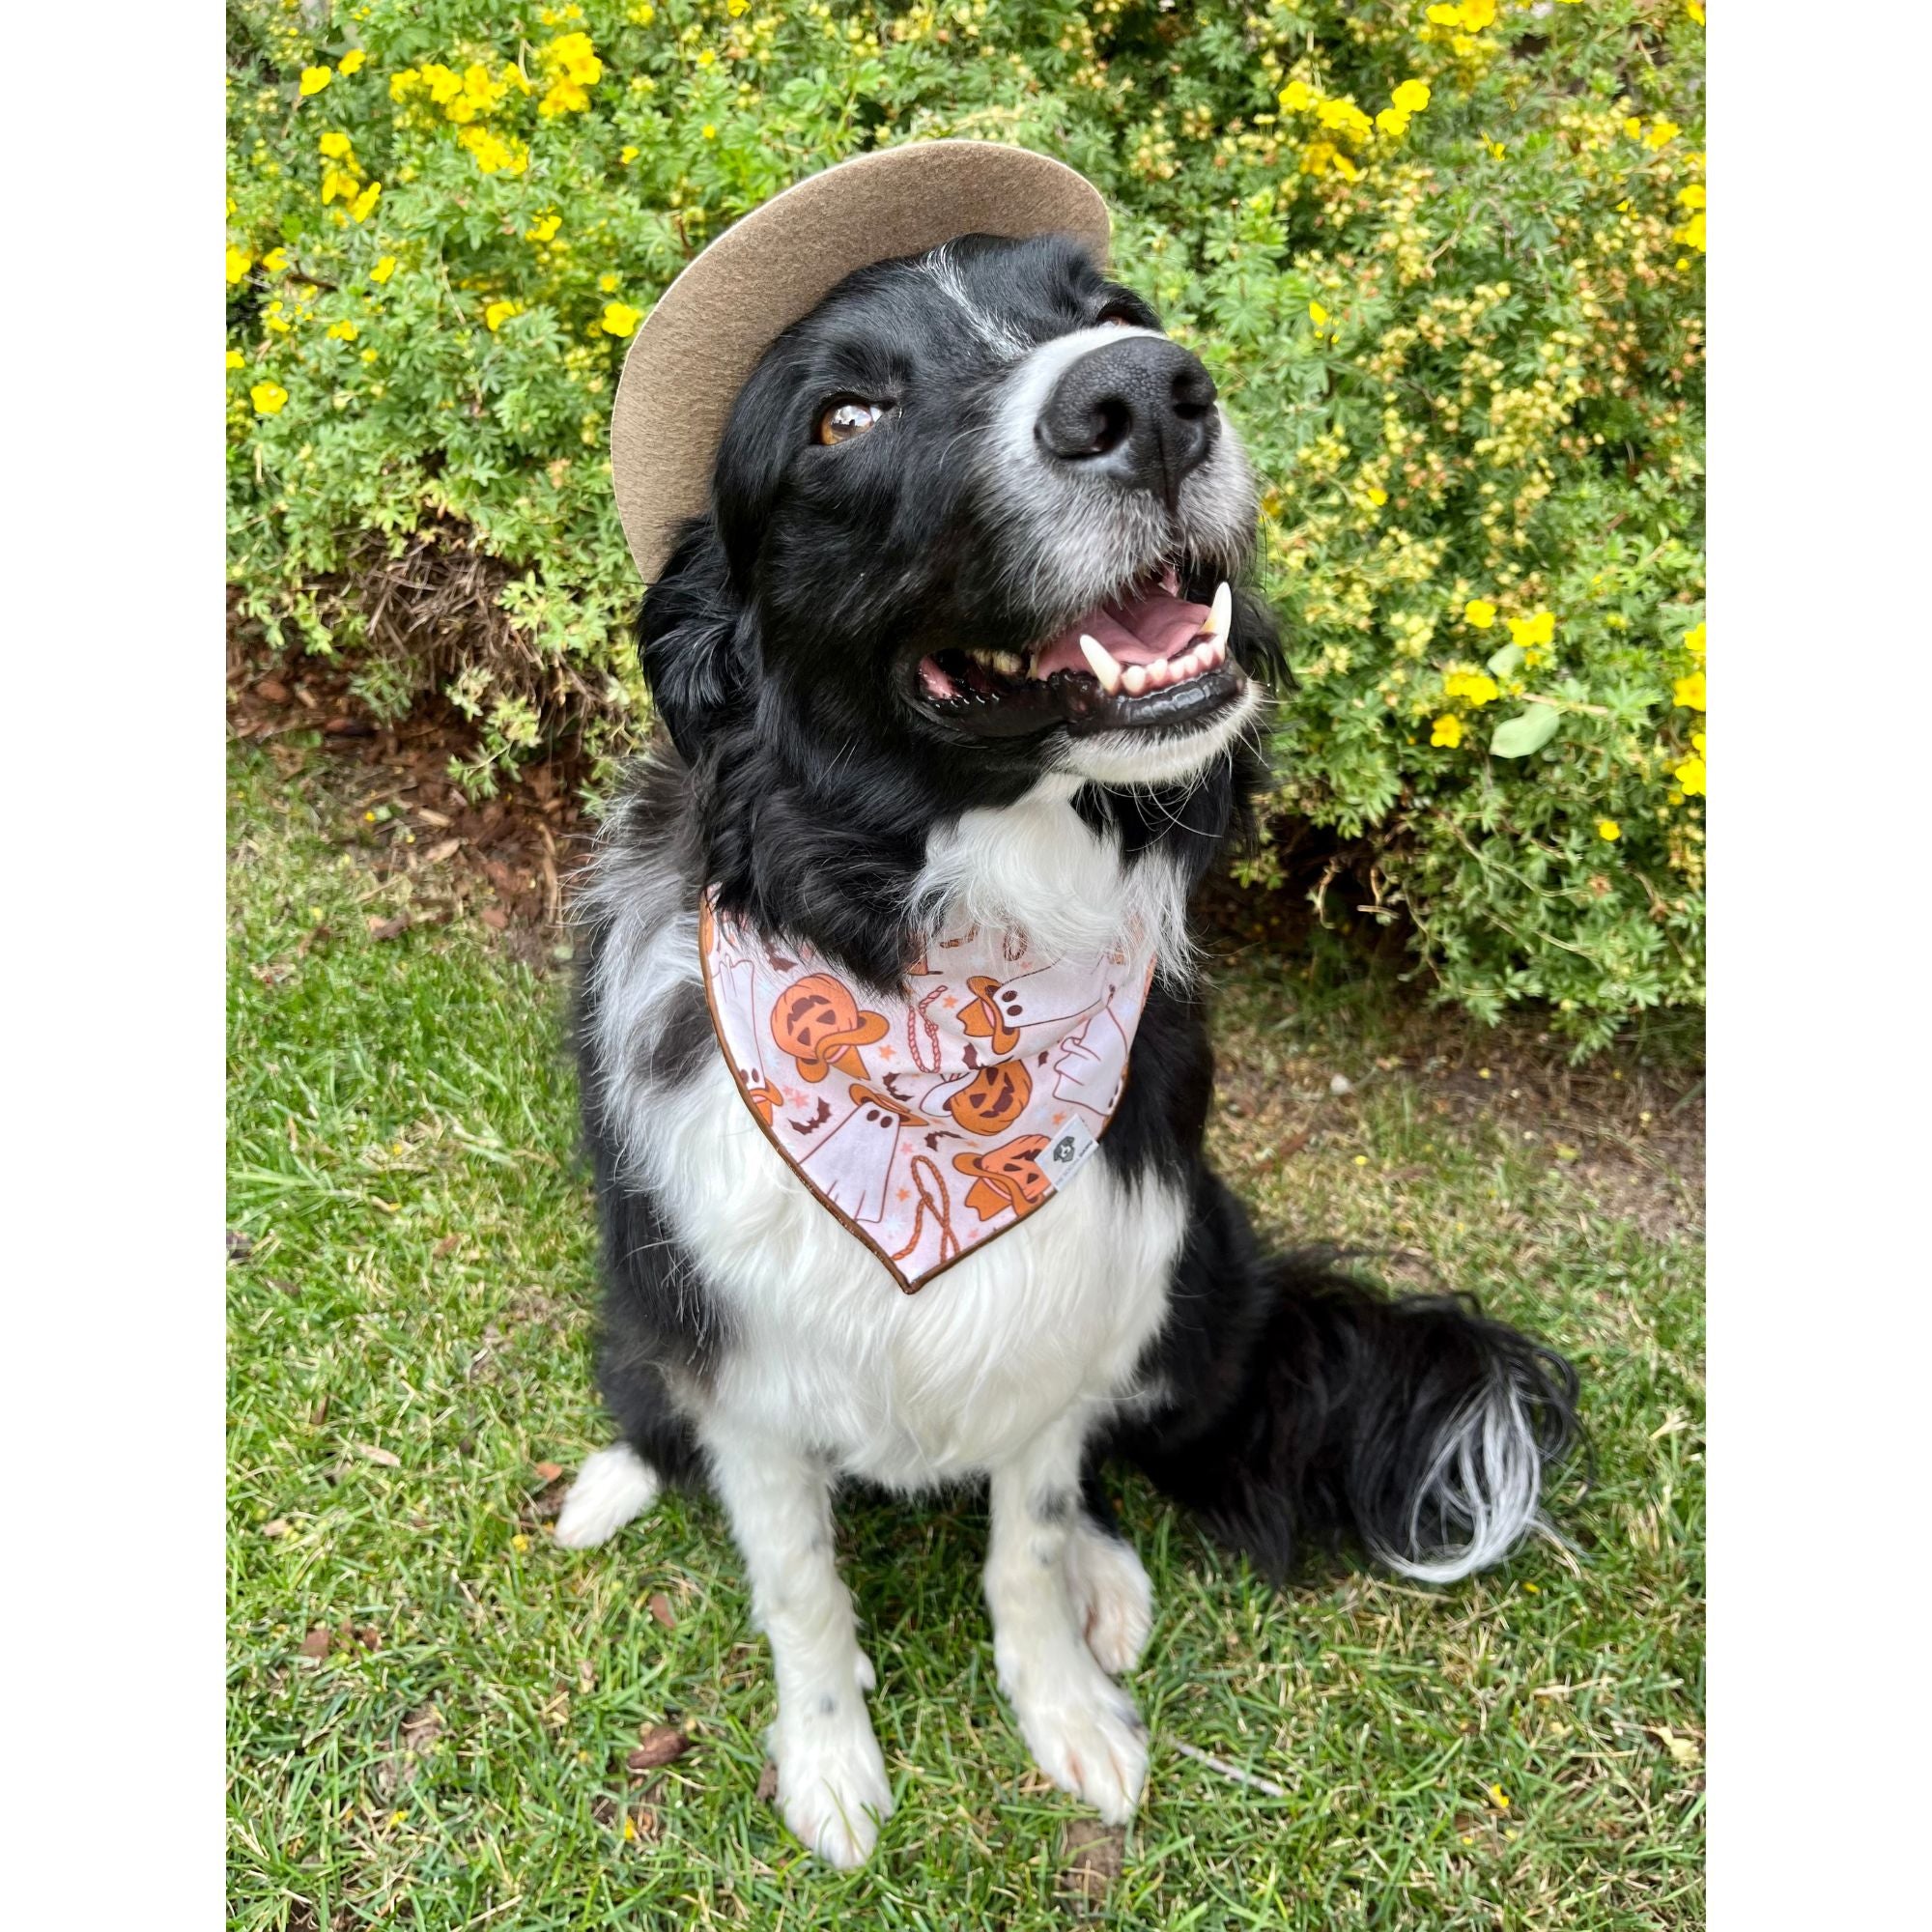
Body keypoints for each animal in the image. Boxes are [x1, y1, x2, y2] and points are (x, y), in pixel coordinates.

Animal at [557, 230, 1579, 1868]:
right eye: (843, 418)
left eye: (1110, 312)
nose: (1148, 399)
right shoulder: (739, 1349)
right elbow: (797, 1585)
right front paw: (831, 1765)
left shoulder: (1075, 1298)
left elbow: (1024, 1541)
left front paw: (1065, 1712)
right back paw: (613, 1483)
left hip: (1194, 1272)